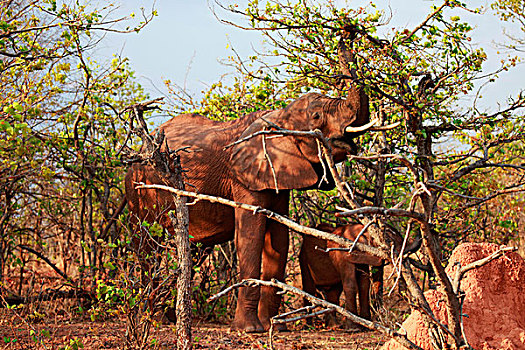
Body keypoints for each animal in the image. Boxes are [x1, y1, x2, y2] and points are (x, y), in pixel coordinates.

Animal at [125, 88, 372, 334]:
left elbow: (279, 239)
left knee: (192, 252)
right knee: (147, 247)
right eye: (317, 116)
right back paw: (150, 318)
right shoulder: (244, 178)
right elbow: (251, 235)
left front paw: (274, 327)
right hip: (139, 191)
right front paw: (250, 329)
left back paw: (169, 315)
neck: (278, 115)